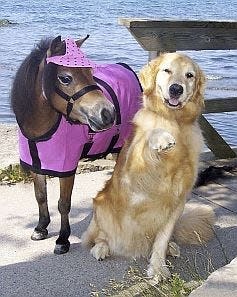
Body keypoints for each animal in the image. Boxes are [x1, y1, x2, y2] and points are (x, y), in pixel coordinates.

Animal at [11, 35, 142, 253]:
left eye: (90, 72)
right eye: (65, 78)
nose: (108, 113)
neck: (38, 128)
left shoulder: (67, 168)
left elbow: (63, 203)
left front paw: (63, 239)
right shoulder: (36, 167)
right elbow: (40, 196)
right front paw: (41, 227)